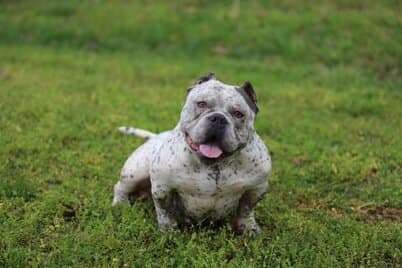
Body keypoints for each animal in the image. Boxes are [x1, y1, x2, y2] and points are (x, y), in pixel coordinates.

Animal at [111, 73, 272, 234]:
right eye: (201, 104)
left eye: (238, 114)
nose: (219, 119)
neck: (215, 165)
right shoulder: (162, 187)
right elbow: (165, 211)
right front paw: (168, 230)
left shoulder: (256, 188)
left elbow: (246, 209)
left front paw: (248, 227)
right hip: (134, 172)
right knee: (120, 187)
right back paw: (120, 204)